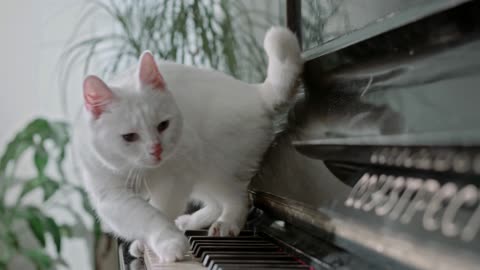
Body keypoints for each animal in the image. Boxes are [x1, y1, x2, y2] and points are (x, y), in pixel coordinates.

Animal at [73, 26, 302, 262]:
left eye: (163, 125)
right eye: (129, 137)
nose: (157, 149)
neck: (141, 170)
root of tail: (255, 93)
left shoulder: (175, 179)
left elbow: (159, 212)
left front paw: (164, 244)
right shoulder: (111, 197)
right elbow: (145, 216)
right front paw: (157, 241)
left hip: (218, 167)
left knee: (238, 199)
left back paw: (226, 223)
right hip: (203, 177)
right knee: (216, 203)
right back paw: (190, 221)